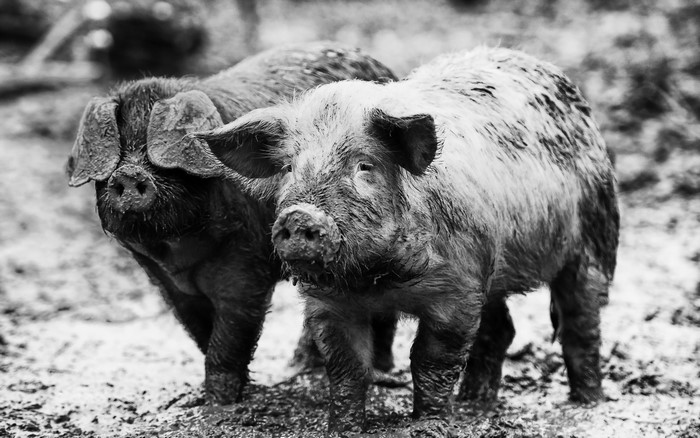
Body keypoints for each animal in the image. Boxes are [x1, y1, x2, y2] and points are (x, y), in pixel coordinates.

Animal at [65, 41, 400, 405]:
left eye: (158, 150)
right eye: (120, 146)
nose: (128, 174)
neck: (176, 250)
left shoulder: (246, 261)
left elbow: (232, 332)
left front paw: (219, 403)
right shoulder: (165, 282)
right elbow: (200, 332)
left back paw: (379, 371)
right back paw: (298, 367)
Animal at [198, 46, 620, 435]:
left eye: (364, 165)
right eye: (288, 167)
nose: (299, 215)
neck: (378, 279)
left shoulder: (458, 291)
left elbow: (431, 360)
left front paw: (428, 424)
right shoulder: (328, 304)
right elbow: (346, 367)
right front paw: (344, 429)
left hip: (596, 235)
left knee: (581, 321)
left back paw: (587, 401)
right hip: (492, 270)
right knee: (502, 328)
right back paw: (474, 403)